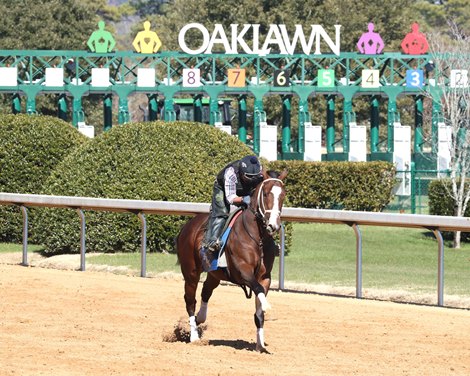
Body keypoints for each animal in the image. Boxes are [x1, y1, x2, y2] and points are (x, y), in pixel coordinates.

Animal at [175, 169, 286, 352]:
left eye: (283, 195)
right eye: (265, 193)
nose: (273, 225)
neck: (258, 238)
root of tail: (186, 227)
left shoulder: (265, 277)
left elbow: (259, 313)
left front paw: (260, 345)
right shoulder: (243, 271)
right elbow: (258, 290)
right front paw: (268, 306)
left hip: (214, 273)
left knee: (206, 291)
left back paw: (199, 318)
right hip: (190, 272)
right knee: (190, 300)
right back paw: (193, 336)